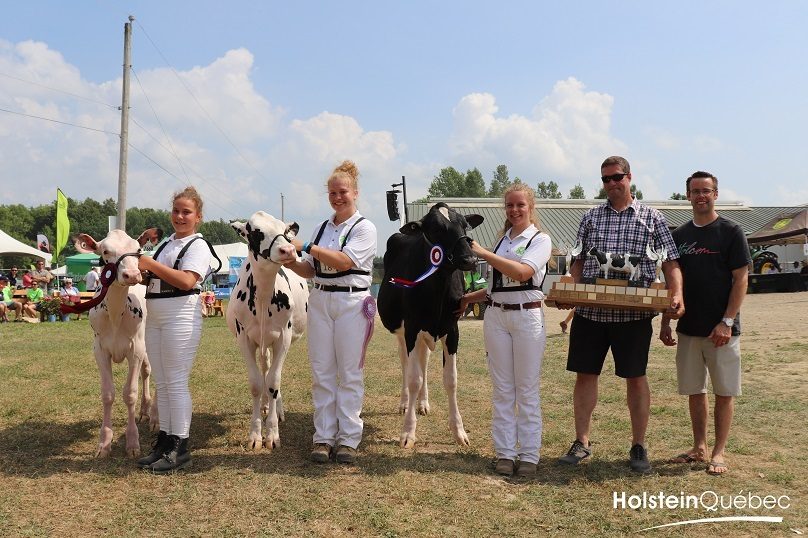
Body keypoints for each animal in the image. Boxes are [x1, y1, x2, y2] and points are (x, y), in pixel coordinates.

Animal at [74, 227, 159, 456]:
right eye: (105, 251)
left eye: (138, 250)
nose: (132, 274)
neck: (114, 315)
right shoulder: (100, 350)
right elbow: (108, 394)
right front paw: (104, 442)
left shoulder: (135, 349)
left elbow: (130, 394)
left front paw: (132, 442)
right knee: (146, 372)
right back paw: (145, 412)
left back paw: (154, 417)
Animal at [227, 209, 310, 448]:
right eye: (256, 232)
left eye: (284, 231)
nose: (288, 249)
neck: (263, 297)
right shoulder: (244, 338)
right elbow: (256, 383)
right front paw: (255, 434)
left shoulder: (283, 337)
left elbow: (274, 381)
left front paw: (272, 433)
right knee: (264, 367)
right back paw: (265, 405)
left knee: (272, 373)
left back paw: (276, 409)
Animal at [378, 201, 482, 448]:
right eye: (435, 229)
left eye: (465, 225)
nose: (470, 259)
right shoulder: (412, 328)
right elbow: (413, 378)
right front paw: (408, 432)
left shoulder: (452, 329)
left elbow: (451, 379)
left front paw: (459, 431)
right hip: (402, 332)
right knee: (406, 364)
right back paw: (405, 402)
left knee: (423, 363)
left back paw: (423, 404)